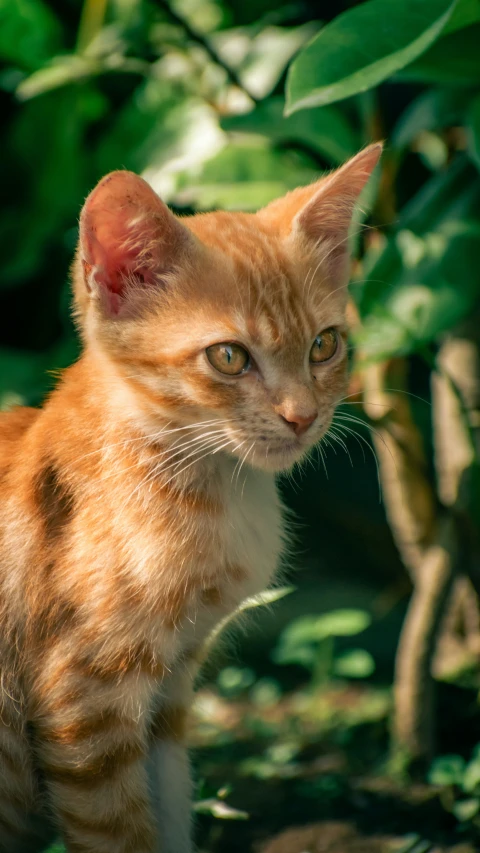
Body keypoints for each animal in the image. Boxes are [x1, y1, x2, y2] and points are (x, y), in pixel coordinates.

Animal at [0, 143, 380, 848]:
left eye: (324, 345)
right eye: (228, 357)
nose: (302, 416)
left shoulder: (169, 694)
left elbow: (172, 812)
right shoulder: (84, 706)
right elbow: (122, 834)